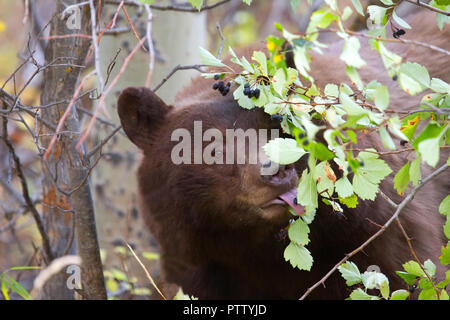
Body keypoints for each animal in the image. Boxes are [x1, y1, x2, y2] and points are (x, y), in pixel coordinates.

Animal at [117, 11, 450, 298]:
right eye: (214, 147)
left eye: (278, 129)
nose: (276, 171)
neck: (258, 250)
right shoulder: (197, 266)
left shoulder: (384, 233)